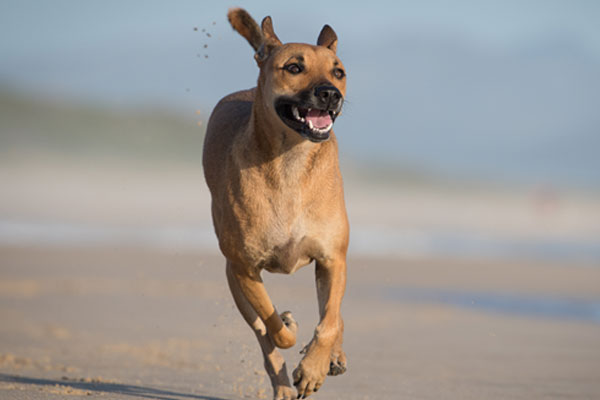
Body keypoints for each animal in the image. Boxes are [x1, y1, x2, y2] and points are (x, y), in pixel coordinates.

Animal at [204, 7, 350, 400]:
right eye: (294, 67)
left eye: (338, 71)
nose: (331, 94)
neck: (292, 162)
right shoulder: (244, 269)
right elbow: (274, 329)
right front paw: (289, 327)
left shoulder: (333, 258)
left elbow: (329, 322)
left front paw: (314, 367)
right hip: (233, 278)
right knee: (263, 335)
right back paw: (283, 383)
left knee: (333, 314)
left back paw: (333, 356)